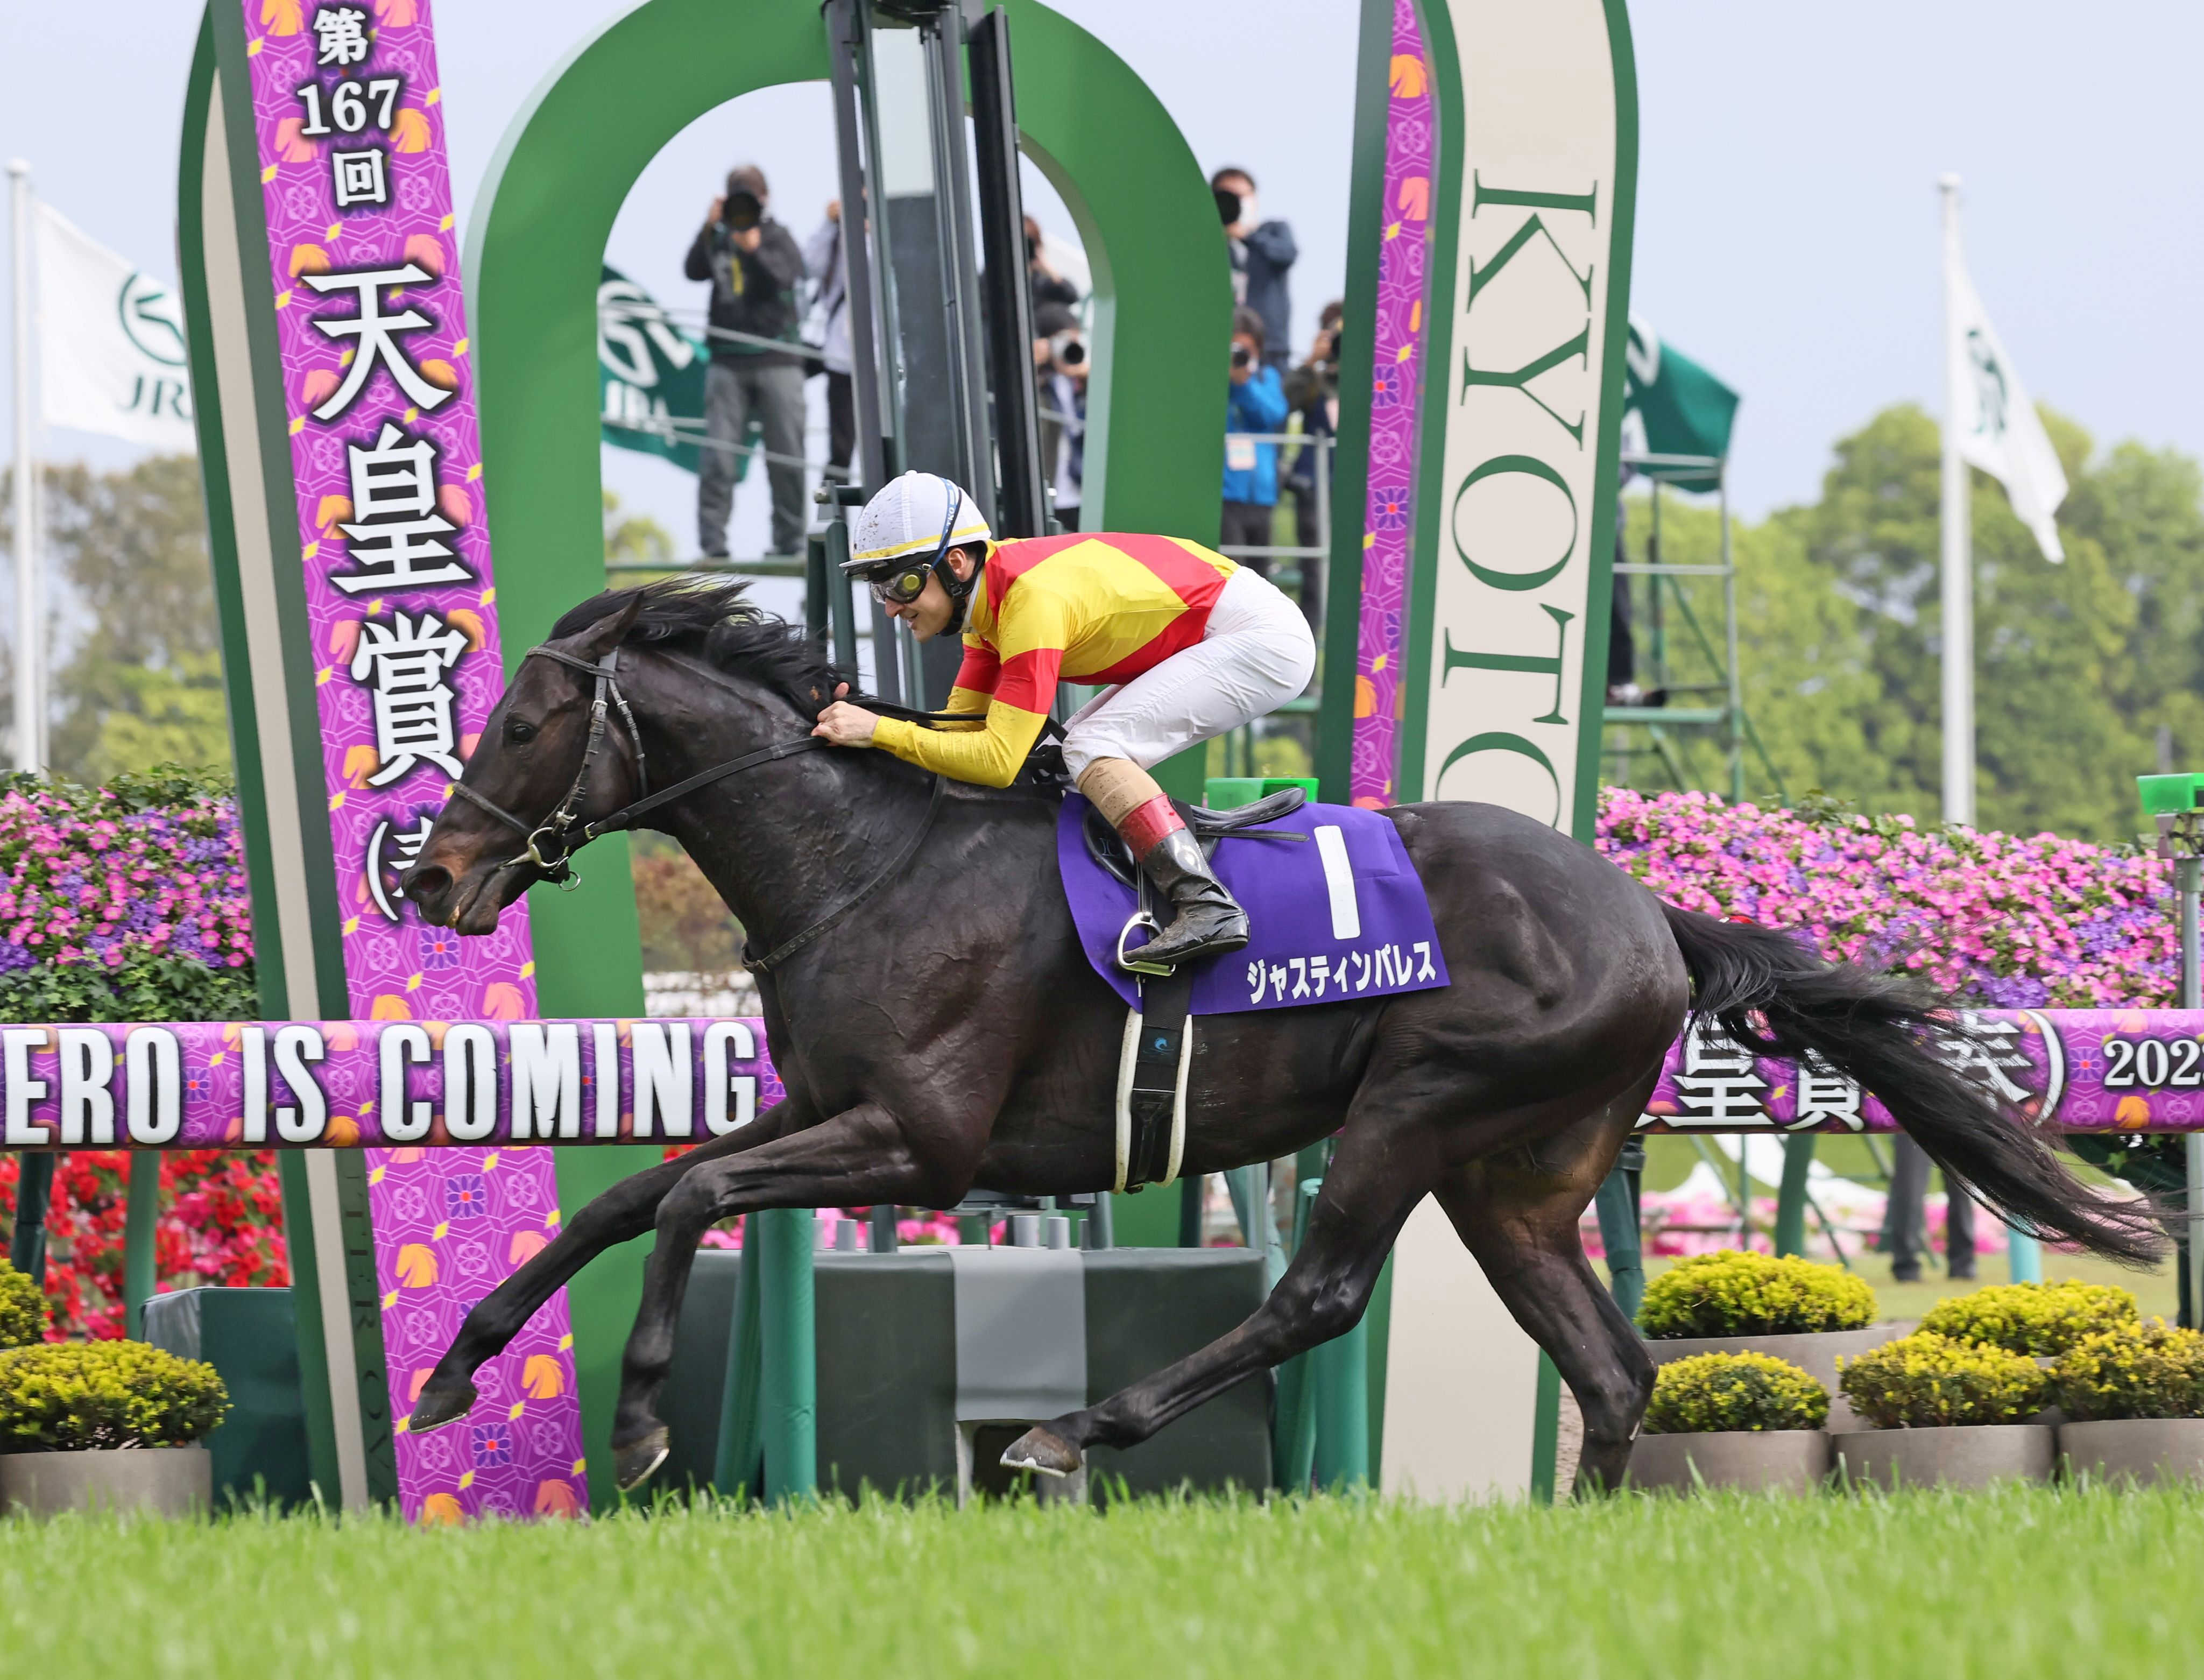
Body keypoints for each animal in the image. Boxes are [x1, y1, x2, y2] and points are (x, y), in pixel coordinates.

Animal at [399, 578, 2161, 1496]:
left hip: (1421, 1104)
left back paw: (1068, 1431)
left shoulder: (927, 1140)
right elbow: (641, 1192)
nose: (427, 871)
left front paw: (636, 1421)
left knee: (1319, 1294)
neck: (865, 858)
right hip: (1515, 1174)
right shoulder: (830, 1110)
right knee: (1611, 1362)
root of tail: (1651, 914)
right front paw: (455, 1367)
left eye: (525, 721)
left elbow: (689, 1196)